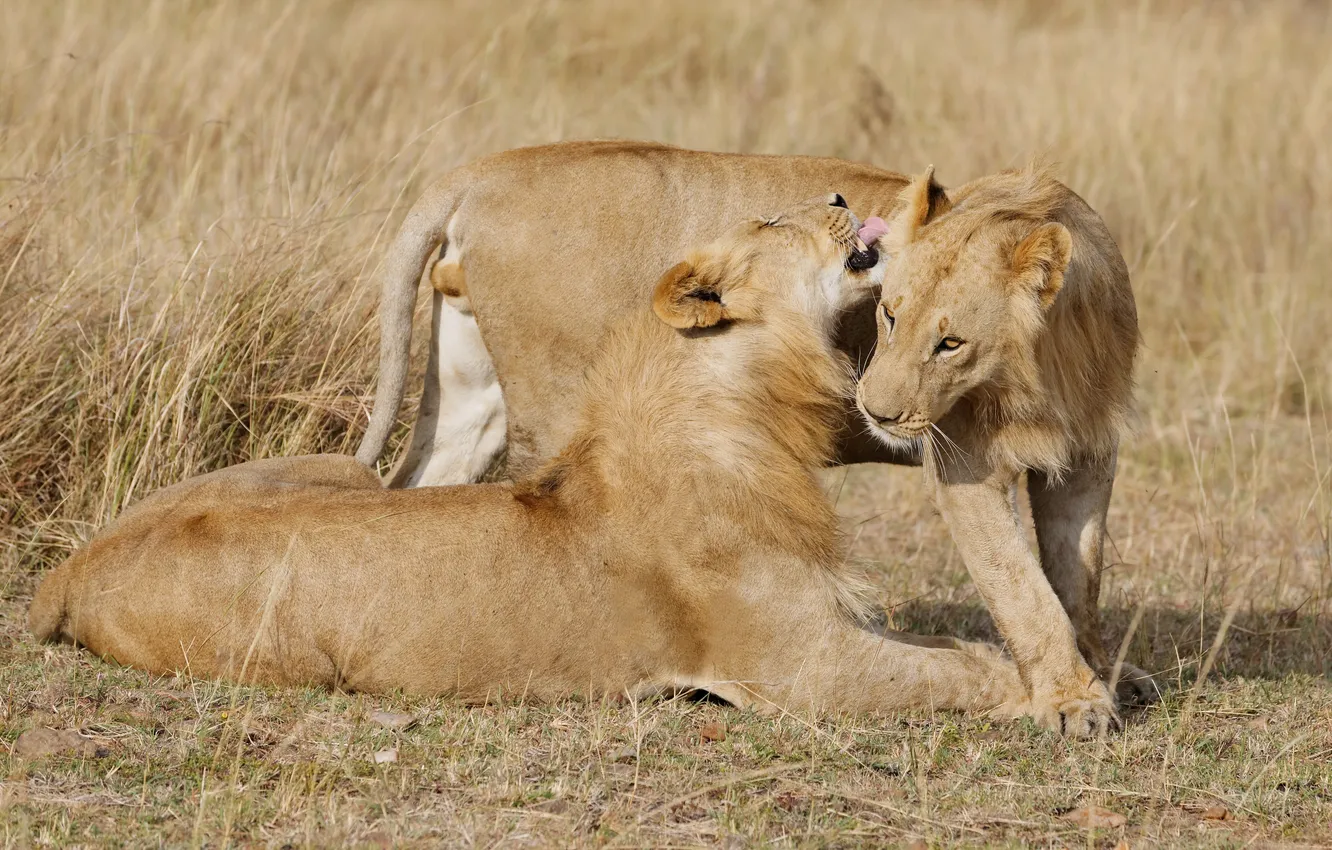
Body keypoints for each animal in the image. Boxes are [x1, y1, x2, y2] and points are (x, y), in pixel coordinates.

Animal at [28, 197, 1028, 724]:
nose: (840, 202)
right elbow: (956, 671)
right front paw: (1049, 695)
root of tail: (71, 566)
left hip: (332, 465)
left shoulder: (825, 628)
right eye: (773, 219)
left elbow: (951, 645)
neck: (748, 404)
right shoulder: (798, 668)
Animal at [354, 141, 1156, 740]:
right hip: (552, 407)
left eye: (950, 341)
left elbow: (1077, 573)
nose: (872, 406)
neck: (1049, 364)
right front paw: (1071, 700)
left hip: (469, 396)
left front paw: (1104, 671)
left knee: (415, 487)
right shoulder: (963, 462)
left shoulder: (1089, 454)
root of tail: (482, 170)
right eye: (889, 317)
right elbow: (1019, 583)